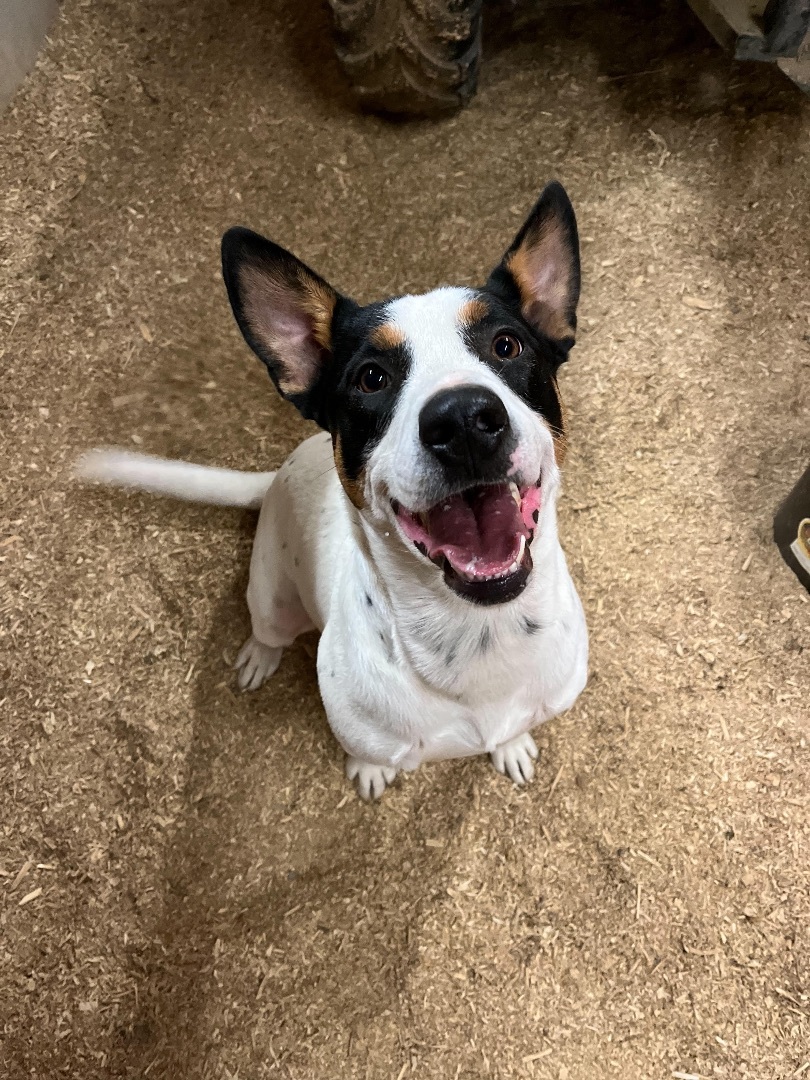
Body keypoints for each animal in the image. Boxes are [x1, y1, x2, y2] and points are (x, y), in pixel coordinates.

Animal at [79, 181, 591, 799]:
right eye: (372, 377)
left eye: (507, 346)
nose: (464, 419)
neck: (479, 634)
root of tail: (276, 476)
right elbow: (366, 751)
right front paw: (371, 770)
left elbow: (512, 730)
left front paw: (510, 744)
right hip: (271, 594)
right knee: (269, 628)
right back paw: (260, 655)